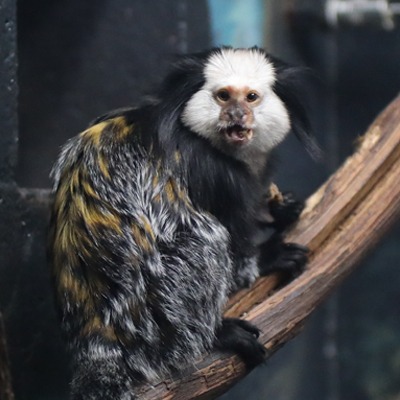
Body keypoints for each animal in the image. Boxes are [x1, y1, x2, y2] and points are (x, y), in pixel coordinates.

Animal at [47, 46, 316, 396]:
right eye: (224, 96)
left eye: (252, 97)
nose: (237, 115)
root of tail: (98, 339)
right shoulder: (215, 172)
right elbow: (239, 263)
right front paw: (268, 256)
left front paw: (283, 209)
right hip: (152, 319)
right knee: (206, 239)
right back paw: (215, 334)